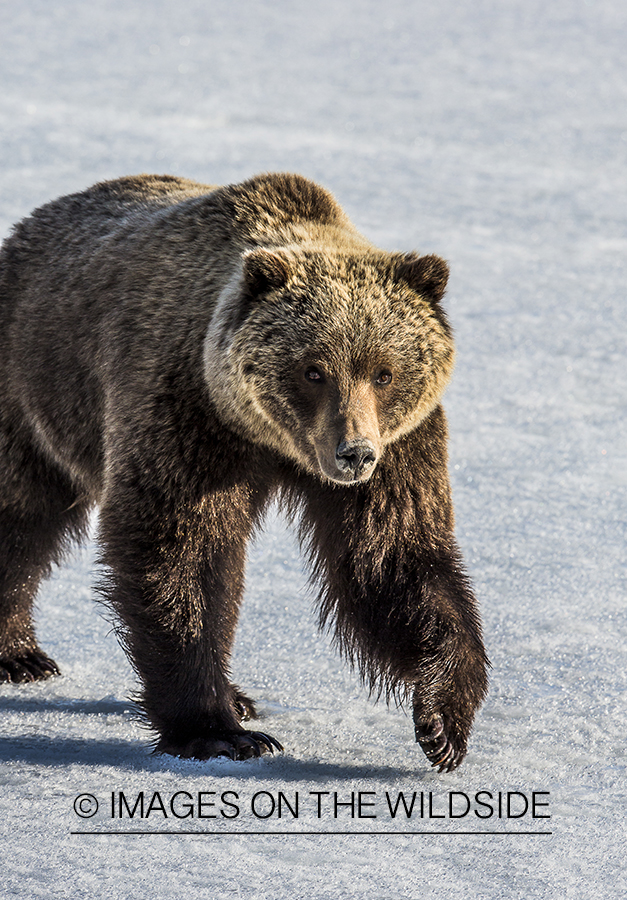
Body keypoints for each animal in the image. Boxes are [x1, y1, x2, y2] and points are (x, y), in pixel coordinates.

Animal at [0, 172, 488, 772]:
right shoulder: (187, 414)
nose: (353, 453)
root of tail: (31, 224)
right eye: (312, 370)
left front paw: (444, 720)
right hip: (34, 390)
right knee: (21, 512)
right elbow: (180, 553)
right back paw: (20, 656)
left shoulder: (400, 447)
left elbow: (393, 560)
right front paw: (220, 731)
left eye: (384, 371)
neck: (271, 442)